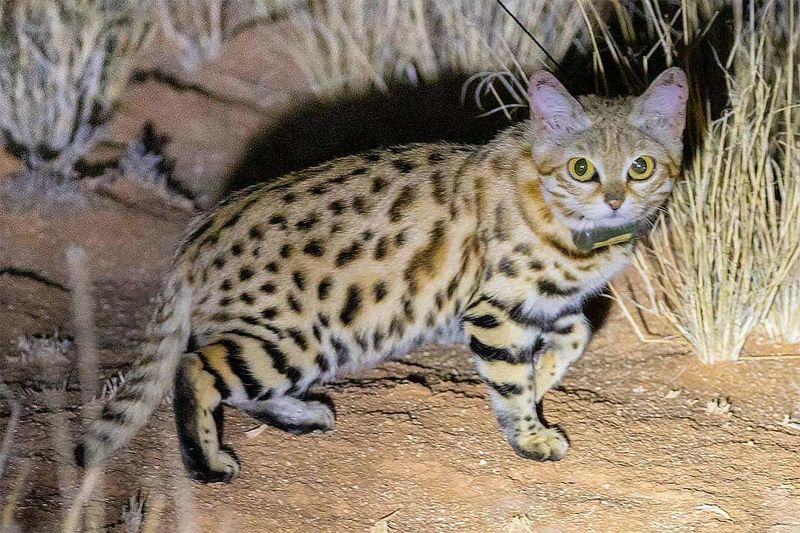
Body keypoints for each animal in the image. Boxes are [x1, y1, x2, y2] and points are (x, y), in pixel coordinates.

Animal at [76, 67, 688, 482]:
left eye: (641, 167)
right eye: (582, 169)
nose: (614, 200)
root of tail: (195, 237)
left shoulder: (542, 306)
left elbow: (575, 335)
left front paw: (543, 383)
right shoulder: (493, 313)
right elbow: (511, 384)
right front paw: (531, 437)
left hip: (302, 344)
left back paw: (302, 414)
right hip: (298, 337)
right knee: (194, 368)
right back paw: (206, 463)